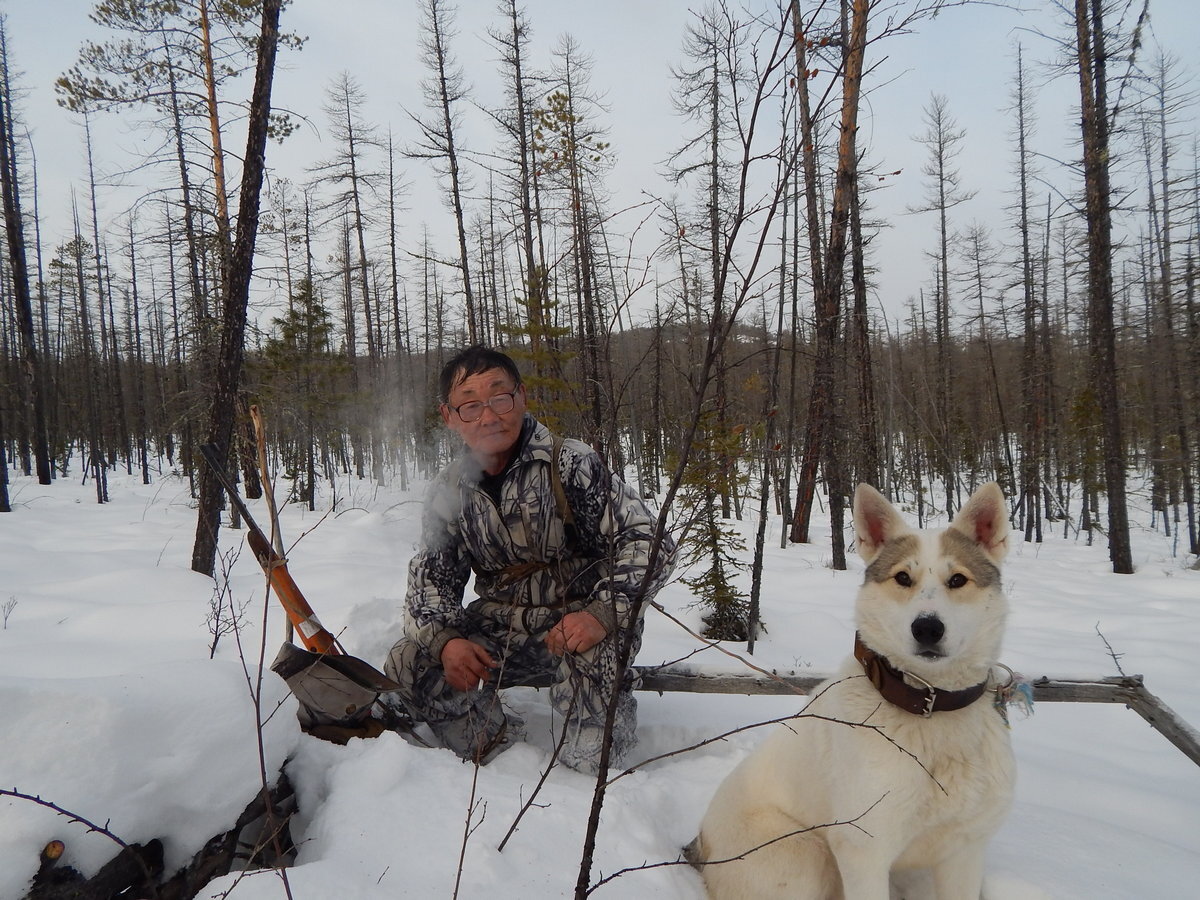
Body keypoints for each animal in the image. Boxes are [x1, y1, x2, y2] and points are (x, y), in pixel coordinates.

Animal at [691, 487, 1017, 900]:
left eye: (958, 579)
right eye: (903, 578)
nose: (927, 628)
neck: (931, 704)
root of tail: (700, 842)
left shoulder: (964, 851)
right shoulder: (865, 852)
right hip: (806, 858)